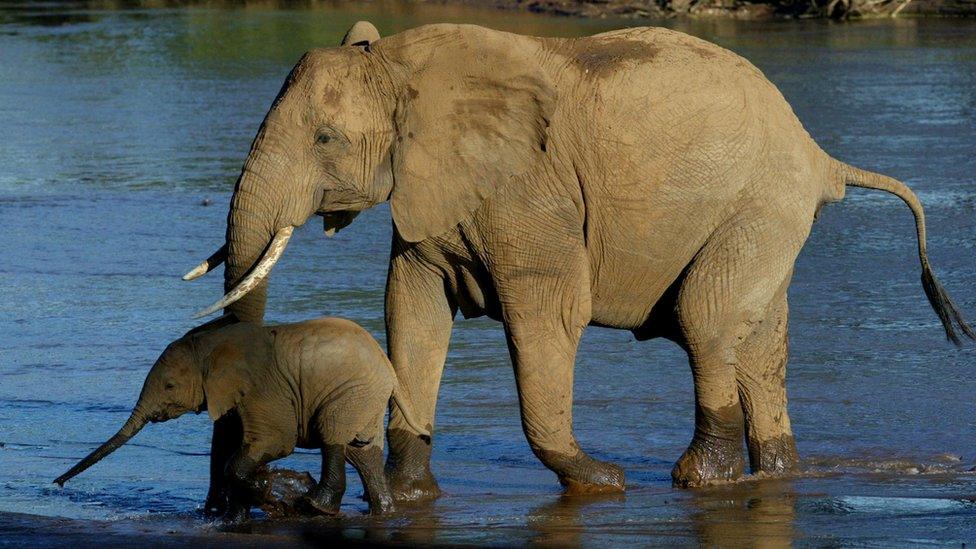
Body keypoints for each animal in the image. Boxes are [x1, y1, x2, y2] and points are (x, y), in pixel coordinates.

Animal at [52, 314, 428, 520]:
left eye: (170, 385)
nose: (57, 484)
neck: (209, 345)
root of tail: (389, 369)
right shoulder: (231, 395)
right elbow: (230, 446)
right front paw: (236, 515)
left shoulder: (264, 388)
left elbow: (275, 441)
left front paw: (267, 497)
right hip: (364, 397)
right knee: (361, 452)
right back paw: (383, 513)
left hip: (351, 391)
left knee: (333, 436)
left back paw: (316, 507)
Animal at [181, 22, 968, 496]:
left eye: (323, 139)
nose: (253, 492)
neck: (403, 62)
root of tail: (819, 154)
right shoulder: (433, 194)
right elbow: (412, 310)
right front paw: (411, 492)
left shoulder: (531, 192)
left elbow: (548, 312)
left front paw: (599, 481)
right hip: (766, 218)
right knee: (759, 343)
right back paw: (774, 472)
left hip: (762, 206)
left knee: (707, 320)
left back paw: (697, 479)